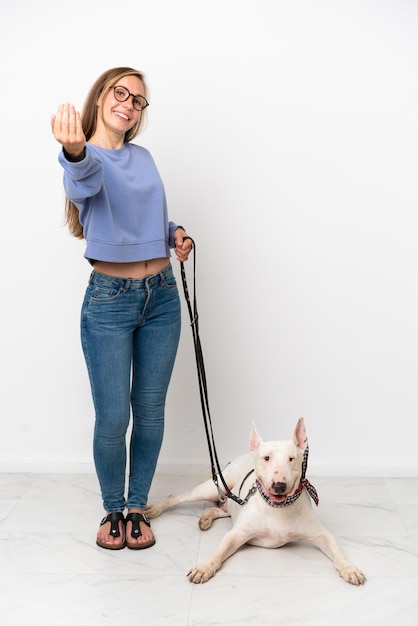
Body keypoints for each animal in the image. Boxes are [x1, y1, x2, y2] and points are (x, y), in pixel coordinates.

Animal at [146, 416, 366, 584]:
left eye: (291, 458)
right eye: (266, 458)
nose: (279, 485)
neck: (277, 508)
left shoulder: (321, 534)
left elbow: (336, 549)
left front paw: (349, 568)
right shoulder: (237, 534)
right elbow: (219, 551)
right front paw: (204, 568)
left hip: (229, 502)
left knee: (218, 509)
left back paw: (205, 519)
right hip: (212, 487)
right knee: (177, 497)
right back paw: (154, 510)